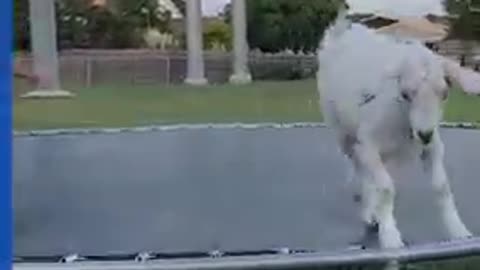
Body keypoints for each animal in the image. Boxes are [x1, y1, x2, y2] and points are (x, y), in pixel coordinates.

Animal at [318, 11, 480, 250]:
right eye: (405, 94)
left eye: (444, 94)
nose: (424, 134)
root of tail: (341, 31)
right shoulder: (368, 143)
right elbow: (385, 188)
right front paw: (390, 237)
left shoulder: (432, 146)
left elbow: (441, 186)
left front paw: (459, 231)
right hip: (342, 131)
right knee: (361, 169)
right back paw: (369, 213)